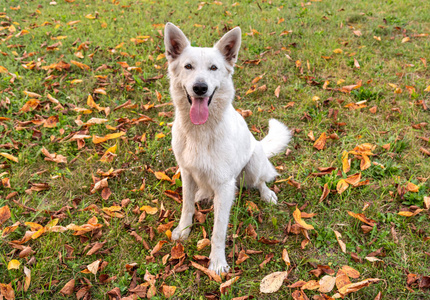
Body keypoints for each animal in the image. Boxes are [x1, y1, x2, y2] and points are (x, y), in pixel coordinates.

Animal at [165, 22, 292, 274]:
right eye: (188, 66)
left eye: (214, 68)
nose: (200, 88)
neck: (200, 132)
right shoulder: (186, 173)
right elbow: (186, 207)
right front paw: (183, 230)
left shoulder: (224, 187)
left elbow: (218, 231)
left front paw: (217, 262)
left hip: (253, 164)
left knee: (260, 181)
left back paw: (267, 194)